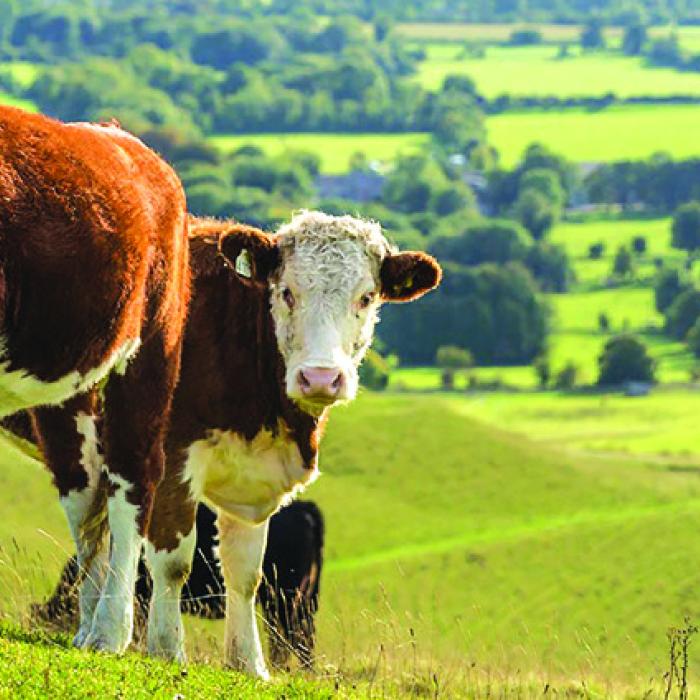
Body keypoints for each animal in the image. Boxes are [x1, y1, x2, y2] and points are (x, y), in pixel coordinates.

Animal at [0, 106, 190, 655]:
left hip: (152, 345)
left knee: (133, 477)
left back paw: (110, 630)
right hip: (70, 386)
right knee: (85, 488)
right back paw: (85, 625)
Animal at [33, 500, 324, 669]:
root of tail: (305, 508)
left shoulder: (142, 596)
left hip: (285, 600)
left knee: (293, 642)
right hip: (299, 601)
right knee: (296, 641)